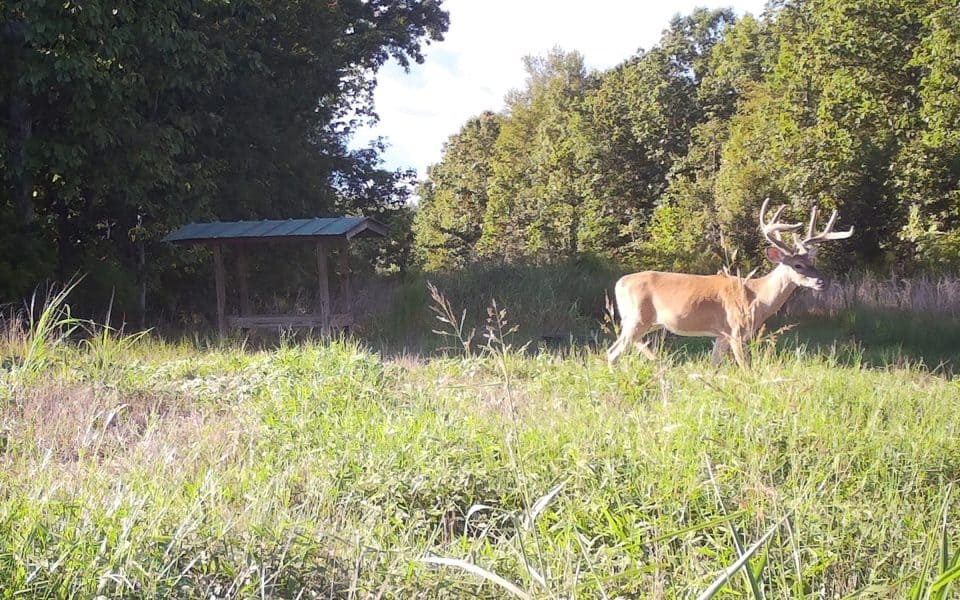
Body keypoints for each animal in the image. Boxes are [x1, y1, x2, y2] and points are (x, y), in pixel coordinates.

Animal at [608, 198, 856, 366]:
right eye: (798, 265)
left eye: (812, 261)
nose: (821, 282)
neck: (757, 296)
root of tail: (619, 283)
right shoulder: (736, 330)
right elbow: (746, 368)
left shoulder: (721, 335)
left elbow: (713, 366)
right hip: (637, 319)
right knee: (612, 352)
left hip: (644, 322)